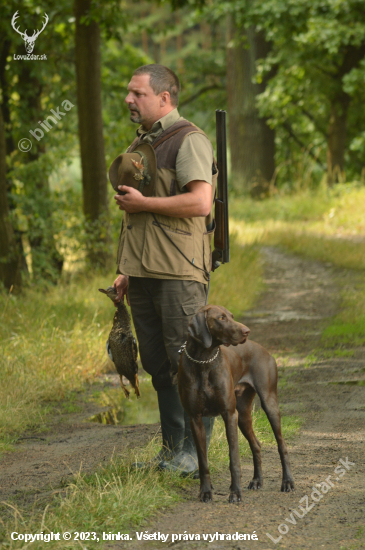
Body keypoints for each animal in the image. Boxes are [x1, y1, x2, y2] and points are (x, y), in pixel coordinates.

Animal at [176, 306, 292, 504]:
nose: (247, 331)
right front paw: (205, 492)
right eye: (221, 318)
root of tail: (264, 349)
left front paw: (235, 493)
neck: (204, 360)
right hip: (243, 414)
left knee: (281, 444)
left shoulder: (229, 414)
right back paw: (257, 480)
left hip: (268, 404)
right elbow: (203, 461)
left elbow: (234, 459)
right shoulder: (195, 419)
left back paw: (287, 482)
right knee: (256, 445)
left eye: (231, 316)